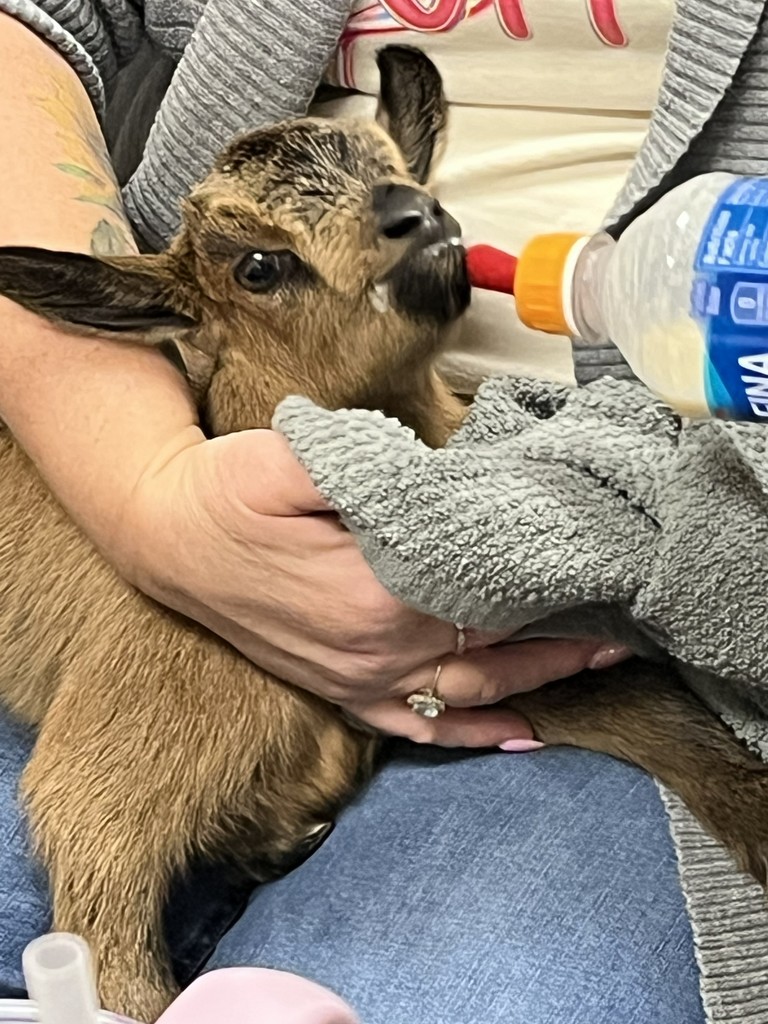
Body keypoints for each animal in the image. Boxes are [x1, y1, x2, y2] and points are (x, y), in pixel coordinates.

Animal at [0, 45, 765, 1023]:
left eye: (391, 164)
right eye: (259, 265)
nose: (415, 214)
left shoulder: (524, 674)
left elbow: (673, 726)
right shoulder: (116, 751)